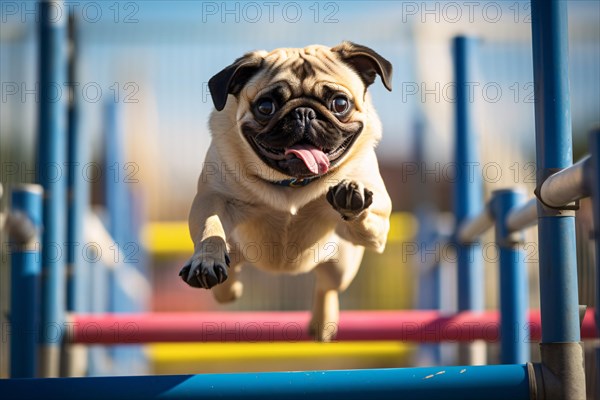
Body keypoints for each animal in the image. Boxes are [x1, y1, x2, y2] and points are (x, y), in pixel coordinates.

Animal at [178, 41, 394, 340]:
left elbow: (366, 209)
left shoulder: (380, 223)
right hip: (238, 255)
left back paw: (322, 323)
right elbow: (210, 229)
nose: (304, 113)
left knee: (327, 286)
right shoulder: (213, 200)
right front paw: (206, 261)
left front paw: (352, 195)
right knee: (227, 285)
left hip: (341, 267)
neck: (292, 183)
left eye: (340, 104)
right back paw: (230, 284)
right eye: (266, 107)